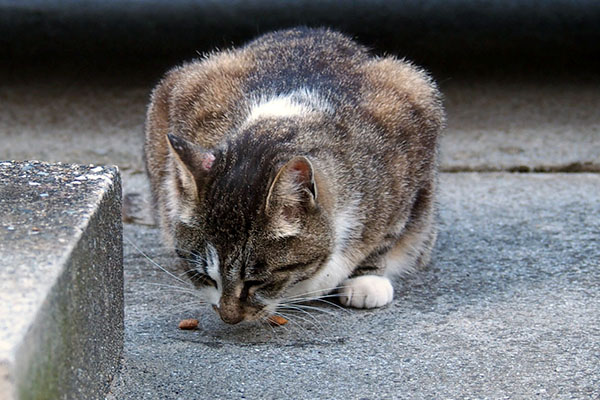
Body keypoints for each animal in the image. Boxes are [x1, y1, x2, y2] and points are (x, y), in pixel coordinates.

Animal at [144, 26, 446, 324]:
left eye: (256, 281)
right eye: (206, 276)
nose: (229, 317)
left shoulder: (412, 121)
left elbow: (387, 233)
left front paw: (367, 278)